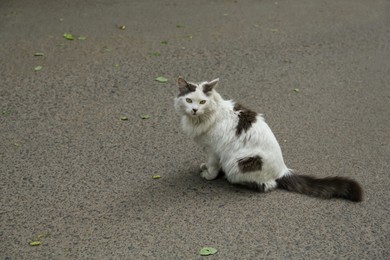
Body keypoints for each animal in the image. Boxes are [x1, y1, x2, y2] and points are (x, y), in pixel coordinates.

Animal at [174, 76, 362, 202]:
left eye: (202, 102)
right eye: (189, 100)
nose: (194, 110)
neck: (199, 120)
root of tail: (283, 169)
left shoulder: (213, 149)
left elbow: (213, 165)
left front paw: (209, 174)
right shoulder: (208, 148)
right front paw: (205, 167)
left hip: (237, 162)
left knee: (267, 185)